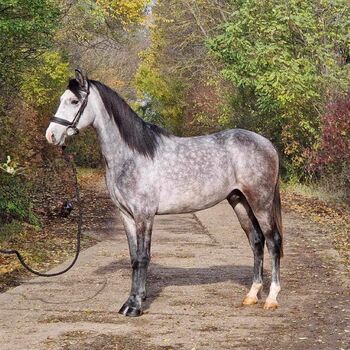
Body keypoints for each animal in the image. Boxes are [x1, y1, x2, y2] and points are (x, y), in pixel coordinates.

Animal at [46, 69, 284, 316]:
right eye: (61, 99)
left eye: (74, 101)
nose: (51, 135)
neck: (132, 155)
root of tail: (267, 143)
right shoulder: (126, 215)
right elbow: (134, 257)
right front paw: (135, 298)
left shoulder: (144, 215)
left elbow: (143, 257)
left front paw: (134, 306)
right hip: (240, 201)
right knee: (256, 241)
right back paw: (252, 295)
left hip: (261, 202)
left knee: (273, 241)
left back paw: (271, 298)